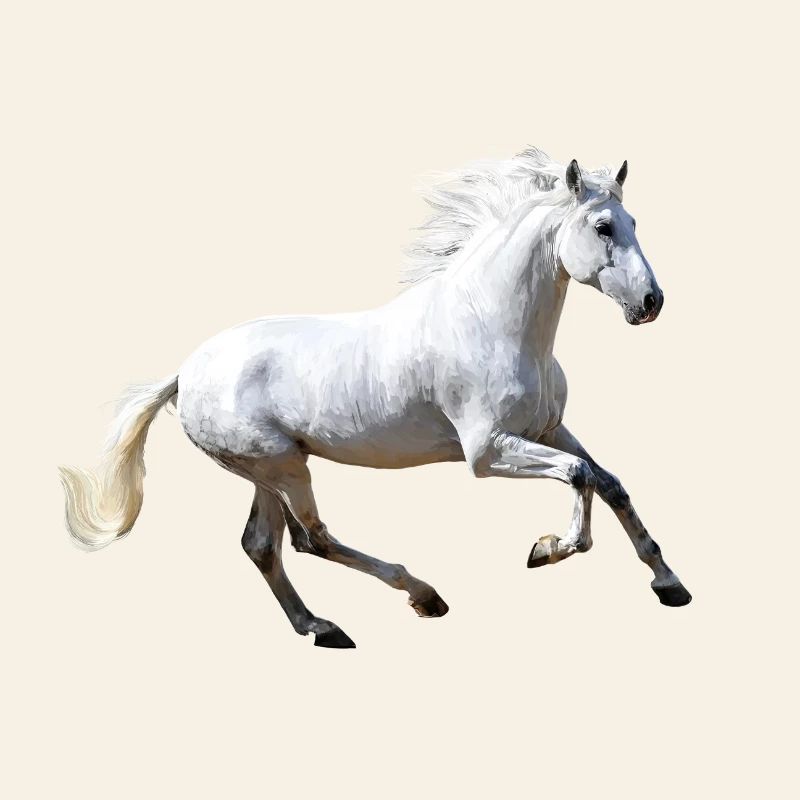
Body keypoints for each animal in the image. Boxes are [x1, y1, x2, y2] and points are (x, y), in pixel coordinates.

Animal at [59, 147, 691, 649]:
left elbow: (609, 482)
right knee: (311, 538)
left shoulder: (547, 429)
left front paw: (670, 585)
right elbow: (580, 477)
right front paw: (547, 547)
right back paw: (422, 596)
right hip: (281, 466)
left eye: (634, 220)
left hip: (267, 470)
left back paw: (320, 628)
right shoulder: (487, 452)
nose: (652, 302)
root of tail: (185, 374)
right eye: (604, 227)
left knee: (263, 545)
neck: (491, 324)